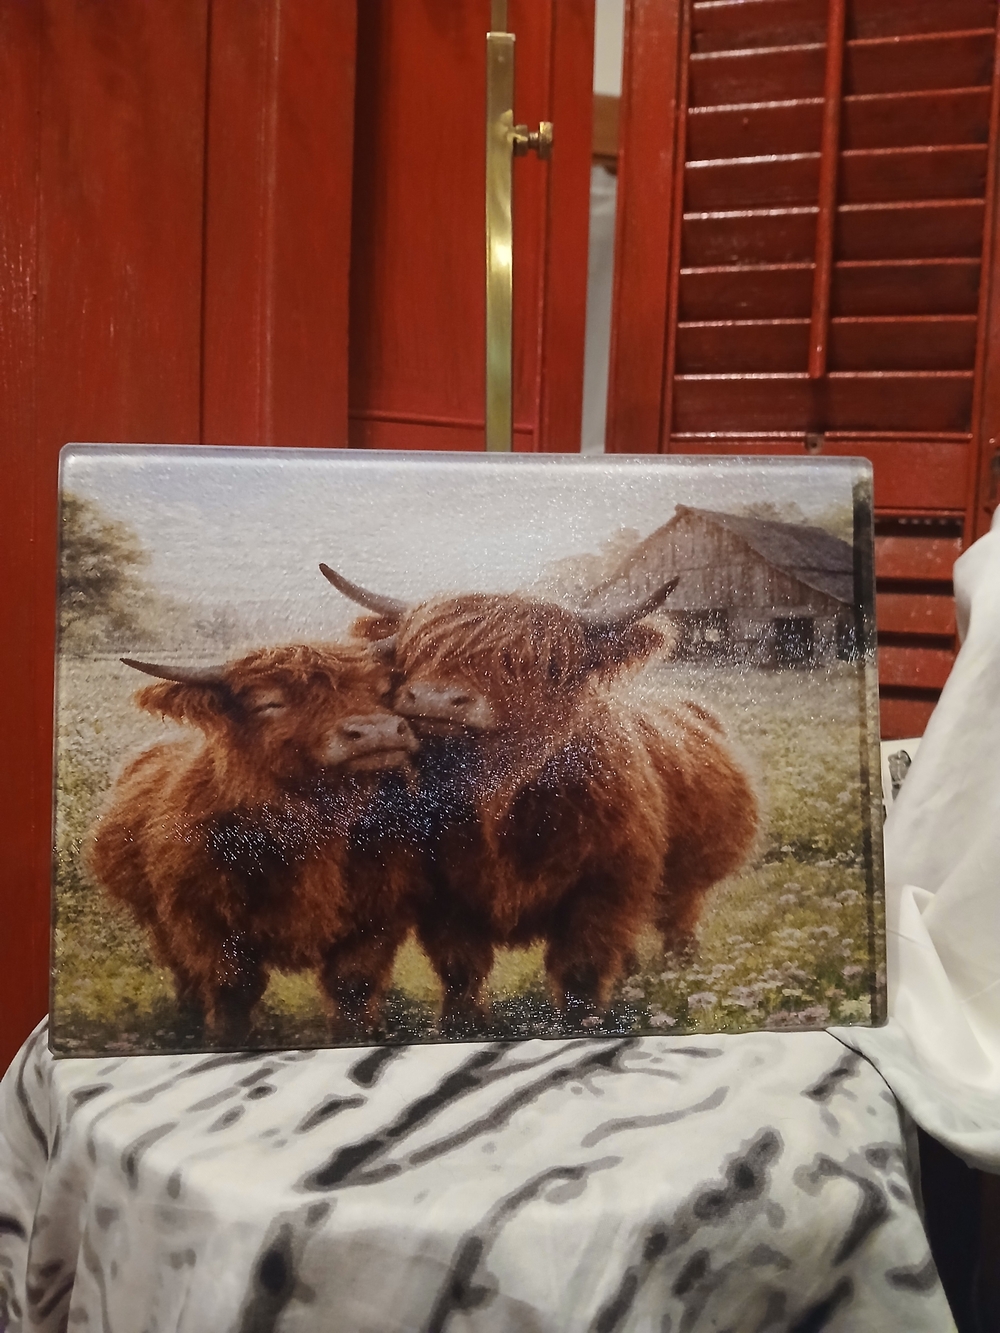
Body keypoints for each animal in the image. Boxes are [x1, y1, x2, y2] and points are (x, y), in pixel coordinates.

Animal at [85, 642, 421, 1045]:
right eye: (268, 703)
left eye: (380, 690)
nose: (377, 731)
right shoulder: (203, 916)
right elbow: (233, 990)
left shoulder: (379, 914)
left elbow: (352, 988)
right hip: (159, 919)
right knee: (184, 973)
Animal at [319, 565, 759, 1034]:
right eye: (415, 651)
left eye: (544, 664)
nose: (436, 700)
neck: (499, 807)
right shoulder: (444, 896)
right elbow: (460, 972)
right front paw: (461, 1027)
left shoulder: (604, 887)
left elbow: (582, 976)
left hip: (685, 884)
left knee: (679, 930)